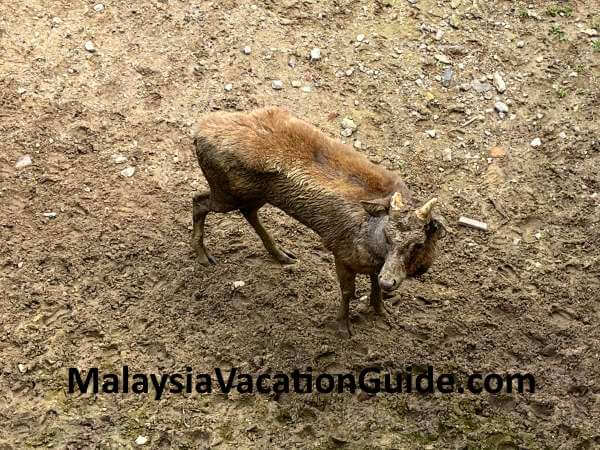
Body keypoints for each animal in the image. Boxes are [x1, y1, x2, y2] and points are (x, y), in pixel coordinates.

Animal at [190, 107, 448, 336]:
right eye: (387, 236)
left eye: (419, 243)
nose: (389, 281)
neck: (372, 246)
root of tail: (197, 133)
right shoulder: (341, 251)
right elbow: (348, 292)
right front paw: (343, 328)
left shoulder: (373, 264)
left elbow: (374, 286)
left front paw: (384, 313)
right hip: (227, 192)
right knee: (198, 200)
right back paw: (203, 256)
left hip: (252, 194)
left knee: (246, 211)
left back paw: (282, 255)